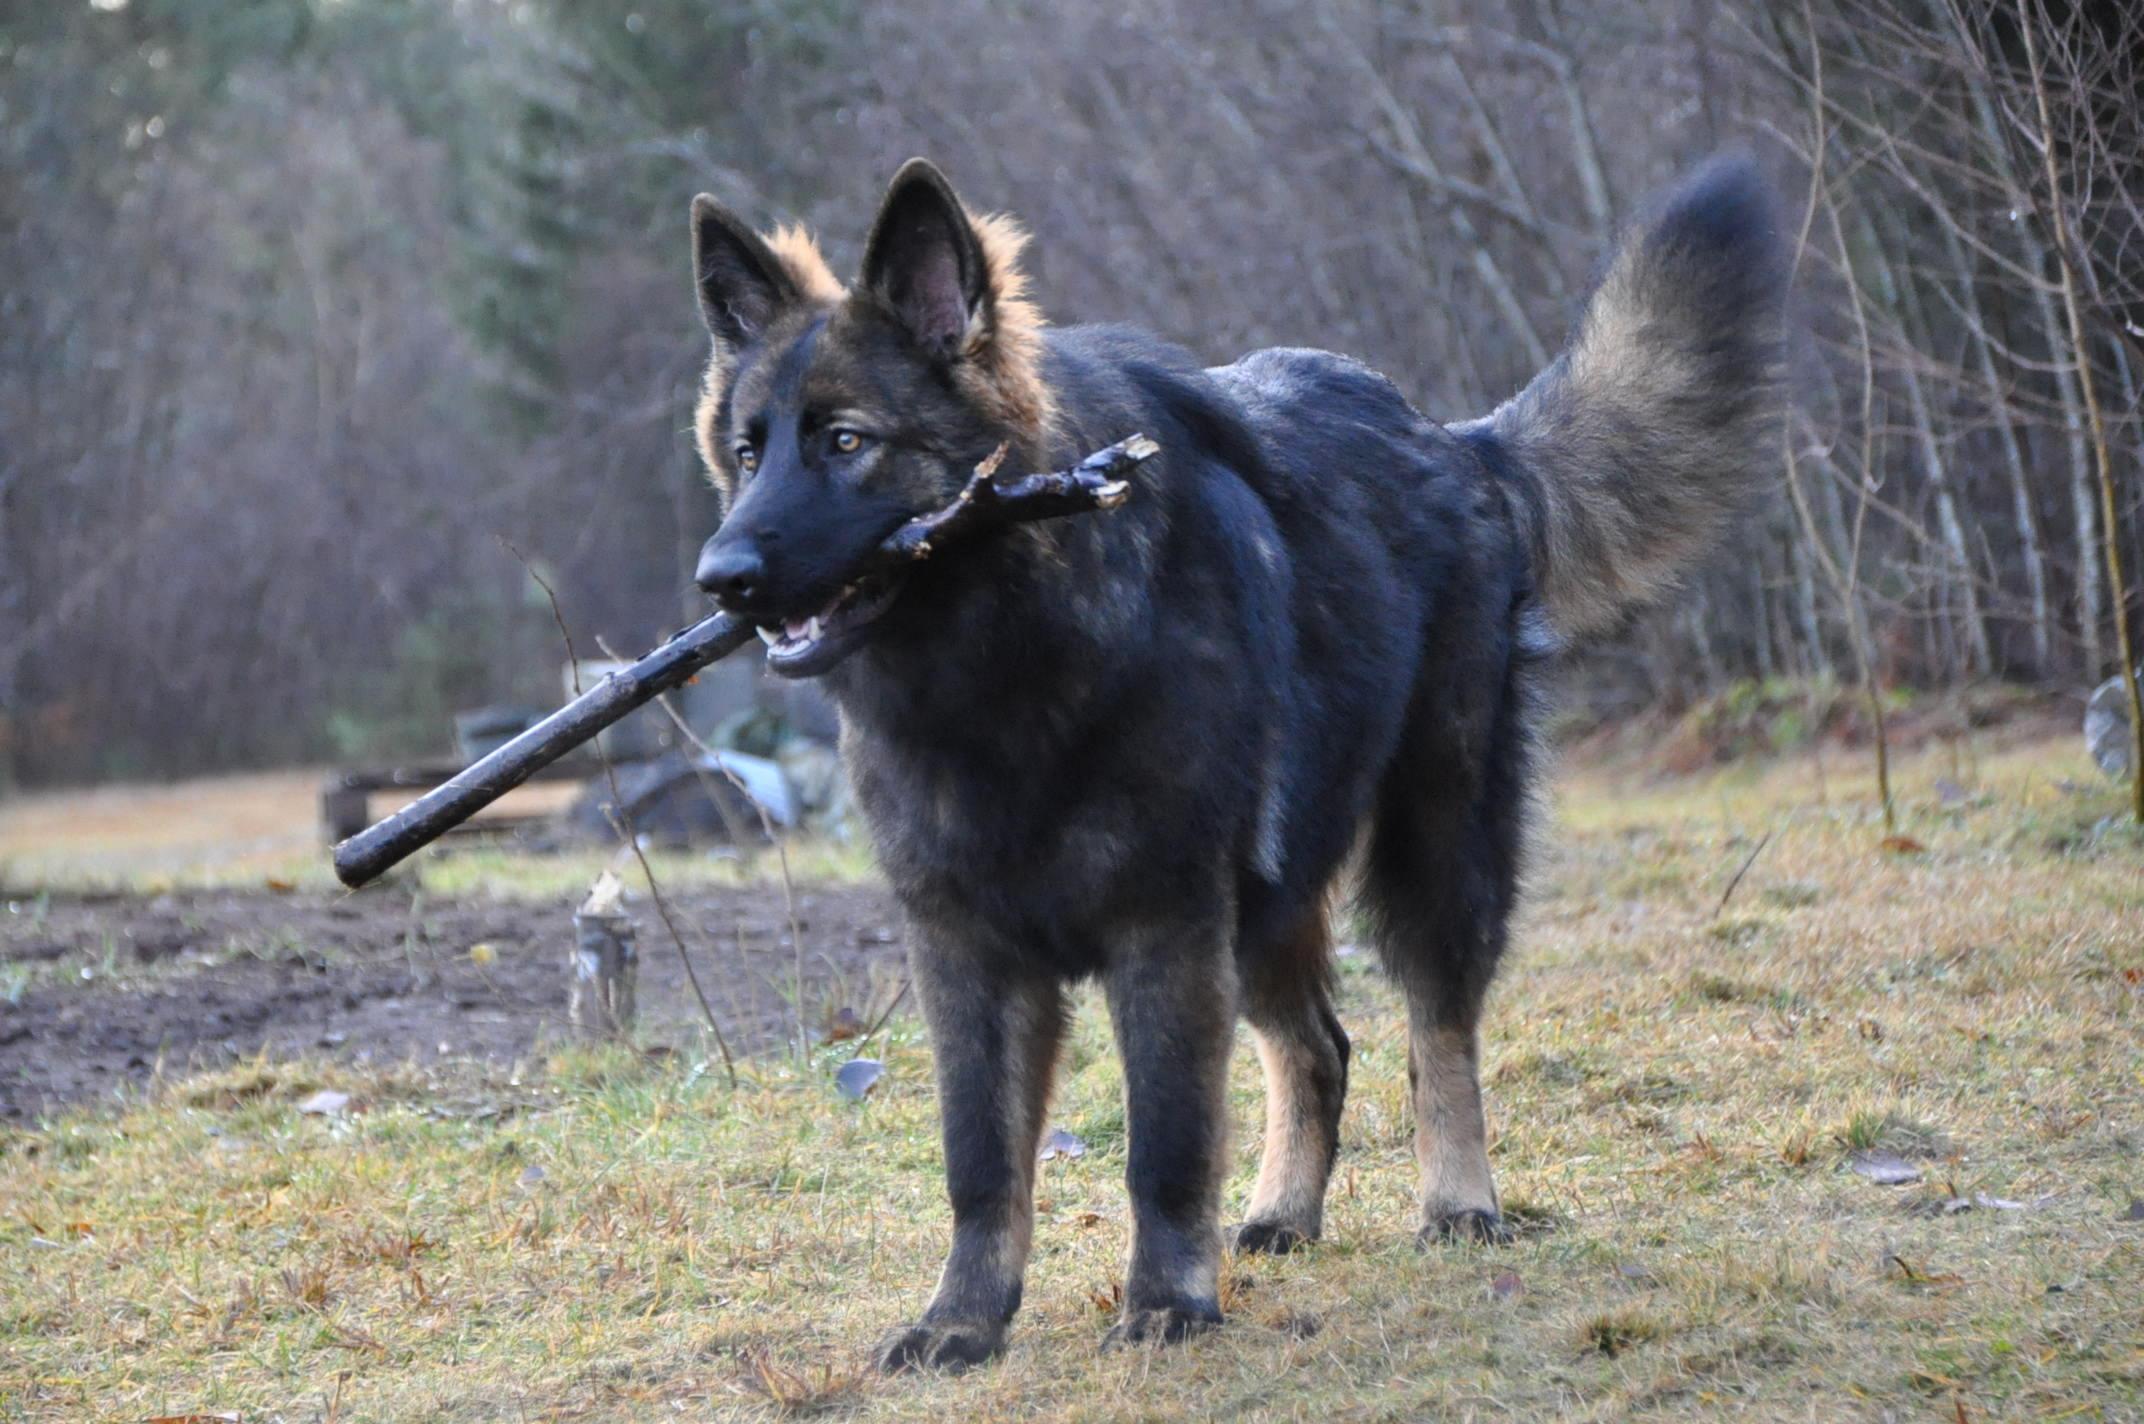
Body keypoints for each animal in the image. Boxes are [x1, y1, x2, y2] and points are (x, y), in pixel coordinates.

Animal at [685, 155, 1786, 1369]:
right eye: (749, 452)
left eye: (845, 442)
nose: (720, 578)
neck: (1010, 669)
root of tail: (1454, 440)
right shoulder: (965, 952)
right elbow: (979, 1161)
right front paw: (962, 1318)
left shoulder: (1164, 927)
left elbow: (1164, 1146)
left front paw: (1167, 1301)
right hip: (1264, 901)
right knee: (1320, 1046)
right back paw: (1281, 1212)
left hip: (1430, 847)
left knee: (1437, 1032)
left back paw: (1458, 1201)